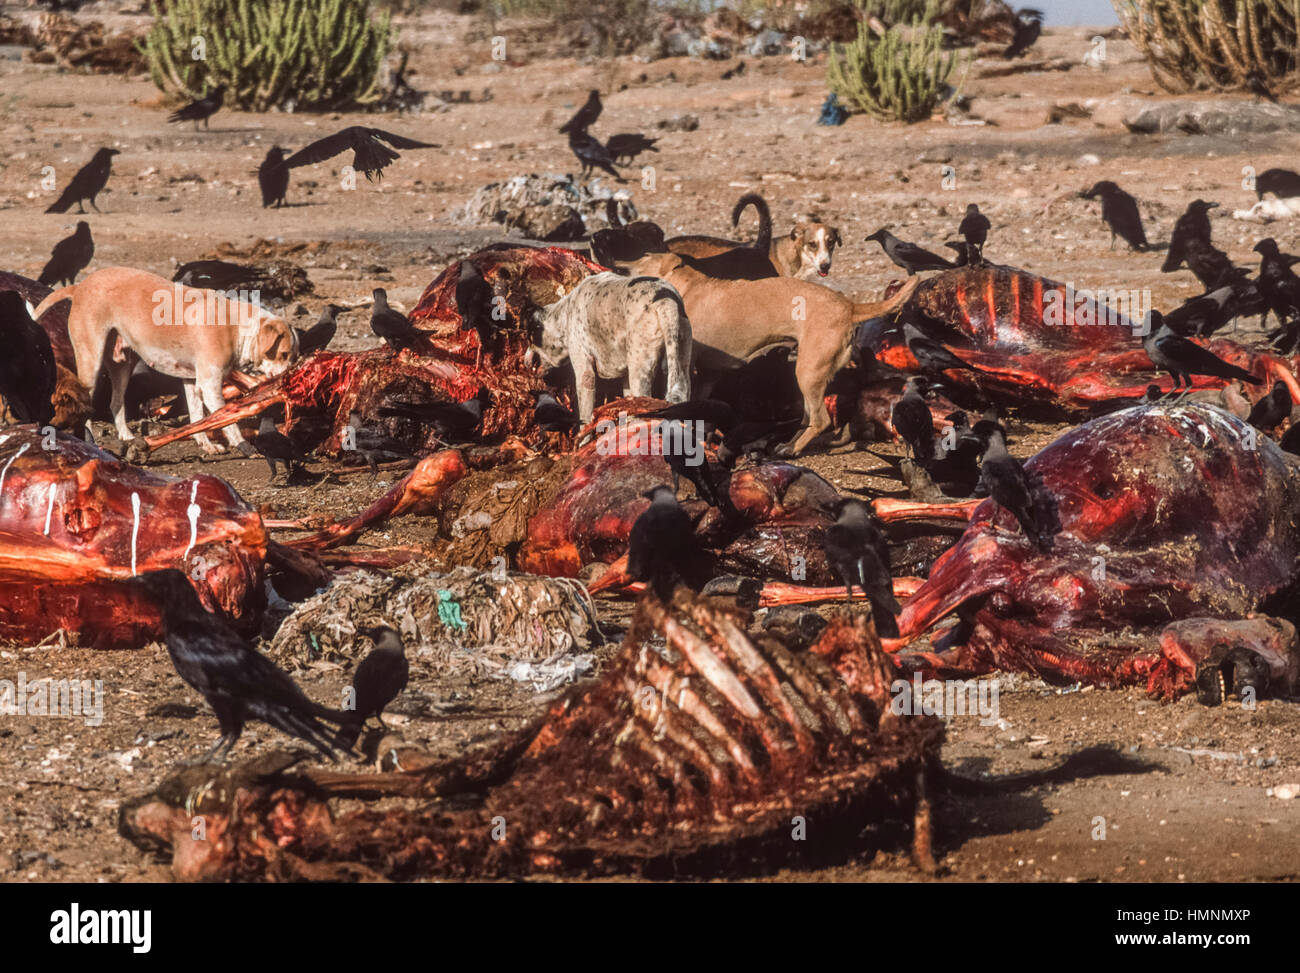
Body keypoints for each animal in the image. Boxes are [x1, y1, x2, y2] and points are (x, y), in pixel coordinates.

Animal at [36, 264, 301, 450]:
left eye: (293, 356)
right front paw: (242, 444)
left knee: (116, 403)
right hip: (91, 360)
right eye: (284, 354)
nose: (291, 377)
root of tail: (80, 287)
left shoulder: (193, 382)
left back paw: (126, 436)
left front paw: (205, 445)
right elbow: (226, 419)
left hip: (122, 366)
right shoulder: (210, 386)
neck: (236, 327)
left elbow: (197, 417)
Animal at [527, 271, 691, 418]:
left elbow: (584, 414)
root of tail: (666, 300)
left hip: (640, 373)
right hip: (680, 363)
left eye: (530, 338)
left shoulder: (585, 373)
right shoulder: (626, 379)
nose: (525, 360)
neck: (564, 314)